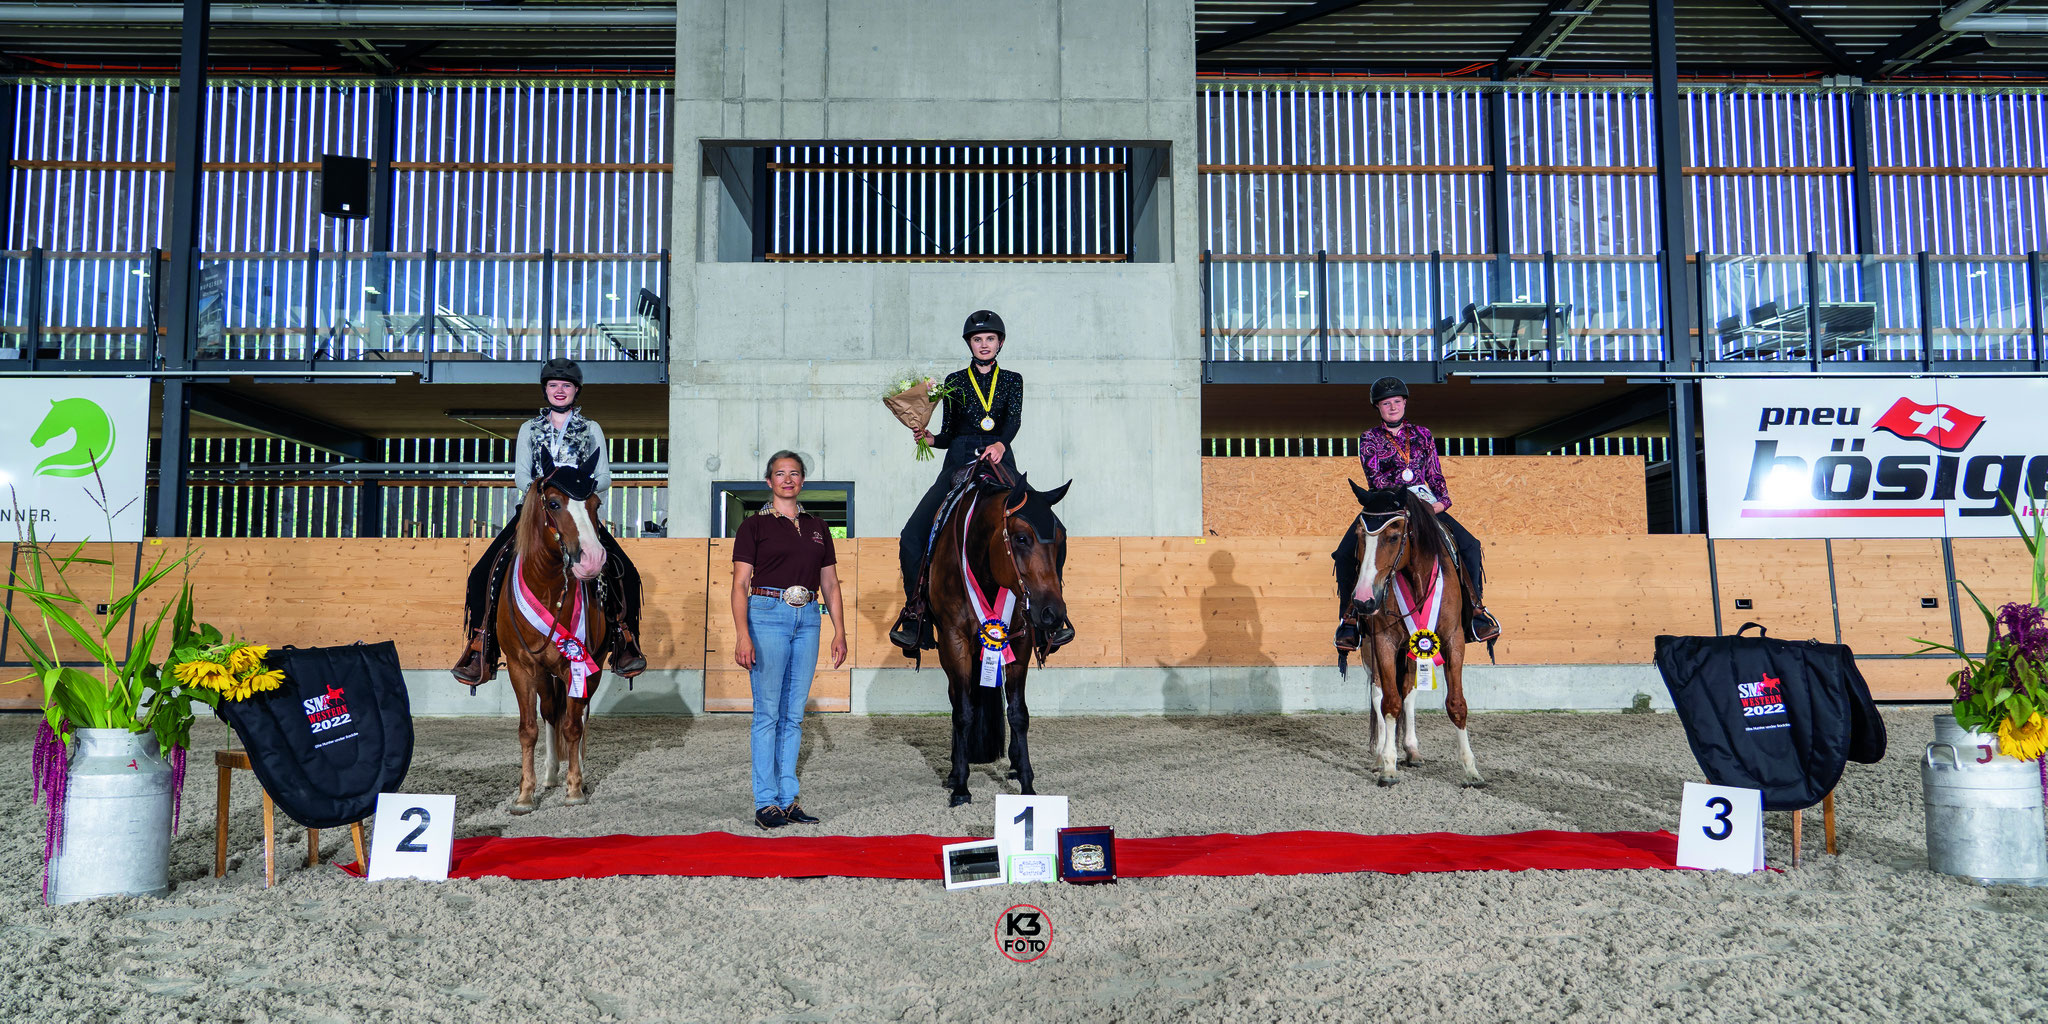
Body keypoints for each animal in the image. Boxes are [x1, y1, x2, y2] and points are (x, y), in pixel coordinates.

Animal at [493, 452, 606, 811]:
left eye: (596, 504)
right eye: (554, 504)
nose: (592, 559)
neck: (546, 587)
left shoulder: (578, 664)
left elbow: (573, 725)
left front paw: (575, 789)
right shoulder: (521, 667)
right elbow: (528, 728)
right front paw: (525, 795)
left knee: (577, 717)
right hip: (543, 674)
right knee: (549, 713)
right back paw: (550, 773)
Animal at [1335, 483, 1482, 786]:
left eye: (1393, 536)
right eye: (1359, 536)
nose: (1363, 600)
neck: (1417, 579)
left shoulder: (1452, 640)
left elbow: (1456, 703)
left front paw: (1471, 770)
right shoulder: (1384, 641)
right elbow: (1389, 702)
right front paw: (1389, 767)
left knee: (1409, 692)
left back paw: (1412, 750)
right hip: (1372, 648)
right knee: (1379, 693)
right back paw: (1380, 756)